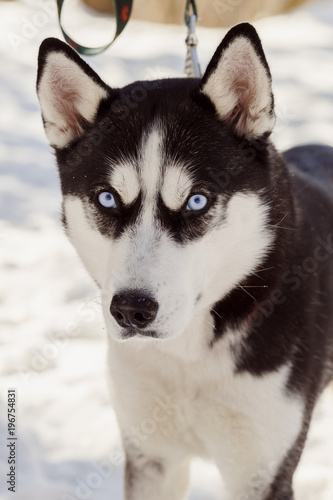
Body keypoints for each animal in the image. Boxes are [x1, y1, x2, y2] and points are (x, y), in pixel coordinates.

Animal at [37, 22, 332, 500]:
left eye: (196, 201)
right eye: (107, 198)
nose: (132, 309)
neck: (189, 357)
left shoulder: (261, 471)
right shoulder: (151, 456)